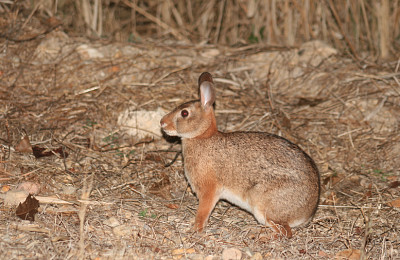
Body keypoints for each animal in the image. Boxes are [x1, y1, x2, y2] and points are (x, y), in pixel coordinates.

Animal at [159, 72, 318, 239]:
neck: (201, 136)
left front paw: (195, 229)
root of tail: (308, 212)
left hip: (263, 205)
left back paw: (261, 236)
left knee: (285, 232)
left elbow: (203, 212)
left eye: (184, 113)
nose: (162, 123)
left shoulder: (209, 190)